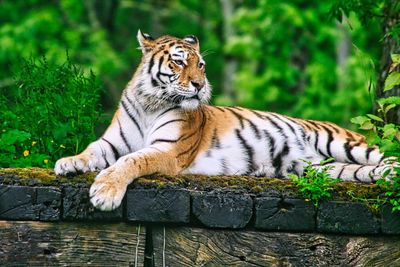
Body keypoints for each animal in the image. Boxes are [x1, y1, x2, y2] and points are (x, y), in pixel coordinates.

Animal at [54, 30, 396, 211]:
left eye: (201, 65)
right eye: (179, 63)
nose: (199, 85)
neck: (150, 102)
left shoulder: (168, 150)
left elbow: (131, 161)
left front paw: (105, 192)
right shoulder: (112, 142)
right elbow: (91, 151)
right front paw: (67, 163)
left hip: (344, 143)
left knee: (385, 154)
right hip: (328, 169)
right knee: (366, 171)